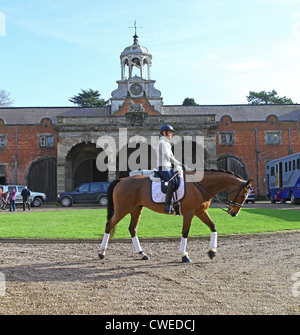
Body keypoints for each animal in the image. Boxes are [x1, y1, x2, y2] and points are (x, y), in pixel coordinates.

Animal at [99, 171, 252, 262]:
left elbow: (213, 227)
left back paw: (142, 253)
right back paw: (102, 252)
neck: (200, 185)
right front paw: (184, 255)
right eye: (244, 194)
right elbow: (185, 232)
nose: (234, 213)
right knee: (109, 225)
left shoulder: (200, 212)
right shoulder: (189, 213)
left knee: (132, 229)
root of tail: (122, 180)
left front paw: (212, 251)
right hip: (122, 209)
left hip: (136, 209)